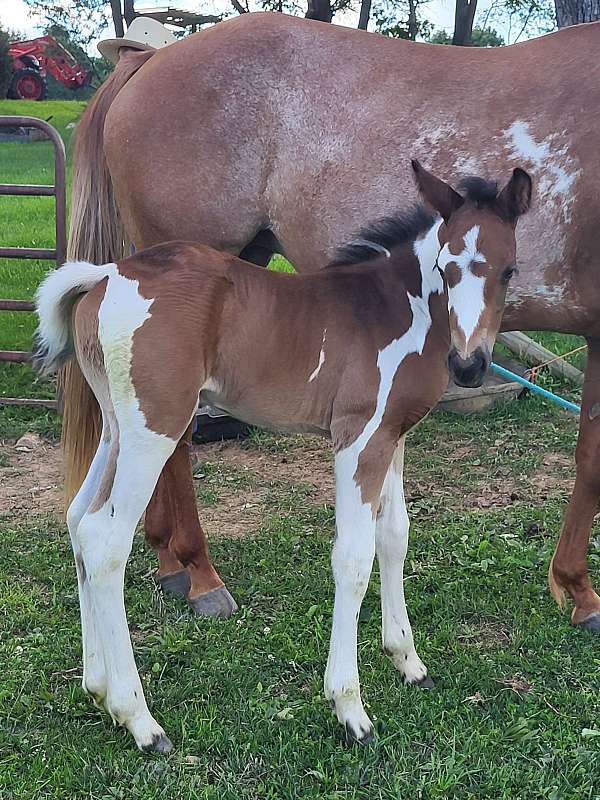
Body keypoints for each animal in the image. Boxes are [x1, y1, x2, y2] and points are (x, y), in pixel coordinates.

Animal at [34, 161, 528, 752]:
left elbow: (394, 537)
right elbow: (353, 557)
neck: (398, 308)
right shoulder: (357, 437)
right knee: (106, 544)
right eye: (445, 267)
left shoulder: (392, 437)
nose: (469, 365)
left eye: (509, 270)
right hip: (154, 430)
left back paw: (99, 688)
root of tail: (106, 276)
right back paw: (140, 720)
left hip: (116, 429)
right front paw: (349, 707)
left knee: (78, 521)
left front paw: (408, 661)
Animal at [64, 9, 600, 632]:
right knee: (171, 448)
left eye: (512, 269)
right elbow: (590, 458)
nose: (469, 366)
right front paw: (579, 590)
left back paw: (169, 562)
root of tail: (150, 59)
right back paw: (199, 575)